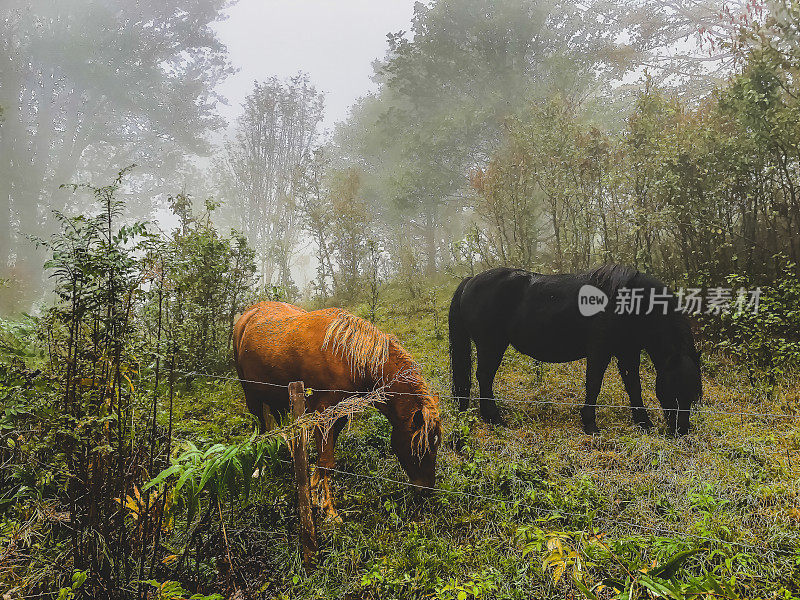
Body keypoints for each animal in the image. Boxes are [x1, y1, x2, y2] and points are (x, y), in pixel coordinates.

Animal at [231, 302, 444, 516]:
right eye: (421, 448)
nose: (426, 490)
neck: (346, 356)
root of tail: (249, 314)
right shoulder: (322, 415)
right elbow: (327, 462)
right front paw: (330, 511)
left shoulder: (339, 415)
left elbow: (325, 459)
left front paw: (313, 487)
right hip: (252, 397)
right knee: (261, 430)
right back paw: (260, 469)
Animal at [450, 264, 700, 434]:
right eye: (674, 388)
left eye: (693, 393)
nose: (680, 431)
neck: (626, 302)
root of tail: (470, 281)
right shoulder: (600, 350)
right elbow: (594, 384)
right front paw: (590, 424)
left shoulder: (628, 352)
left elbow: (633, 387)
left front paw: (643, 422)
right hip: (491, 345)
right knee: (484, 376)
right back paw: (494, 417)